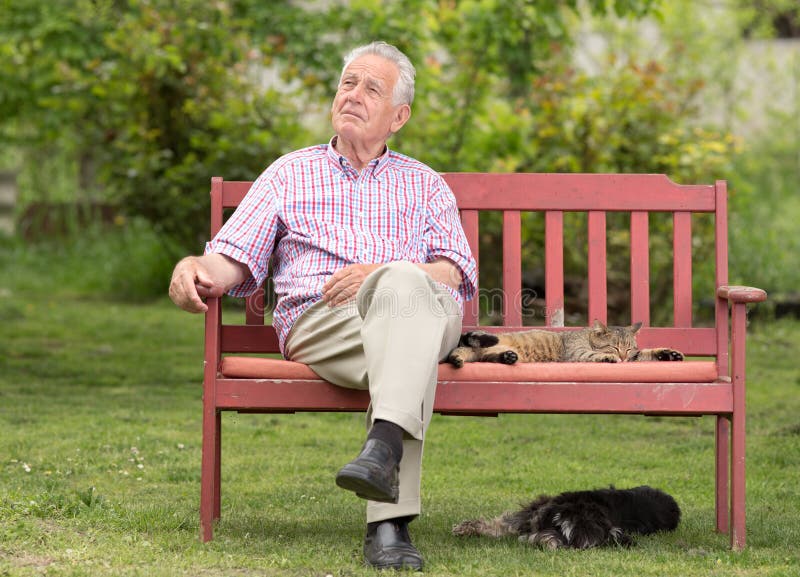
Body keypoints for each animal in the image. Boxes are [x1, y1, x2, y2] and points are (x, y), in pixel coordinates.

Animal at [454, 484, 680, 548]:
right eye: (560, 528)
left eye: (571, 542)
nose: (545, 543)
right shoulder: (538, 508)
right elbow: (506, 523)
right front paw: (468, 527)